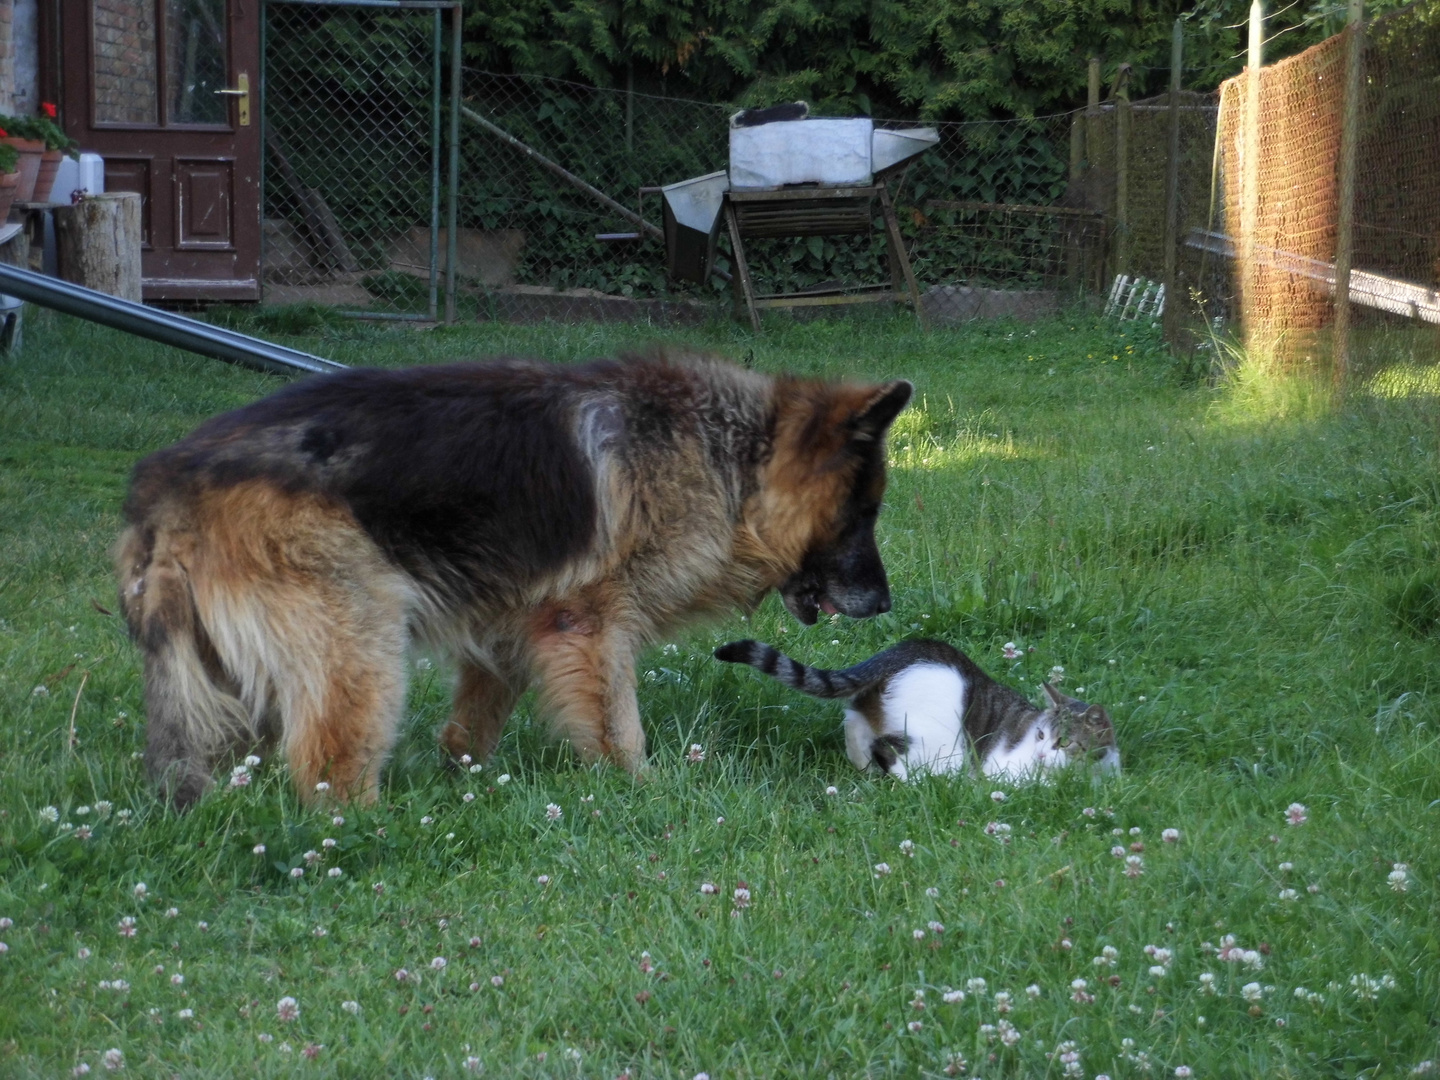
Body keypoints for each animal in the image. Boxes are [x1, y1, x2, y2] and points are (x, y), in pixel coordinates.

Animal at [120, 355, 910, 812]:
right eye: (865, 512)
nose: (886, 603)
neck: (727, 454)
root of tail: (167, 485)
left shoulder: (510, 626)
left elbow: (473, 722)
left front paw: (462, 774)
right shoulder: (588, 627)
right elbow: (619, 728)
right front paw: (646, 796)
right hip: (361, 649)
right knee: (326, 764)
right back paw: (369, 835)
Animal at [714, 639, 1117, 783]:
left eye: (1063, 742)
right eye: (1041, 735)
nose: (1041, 752)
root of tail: (901, 651)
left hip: (872, 709)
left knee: (854, 721)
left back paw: (862, 766)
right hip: (944, 746)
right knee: (887, 746)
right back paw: (907, 780)